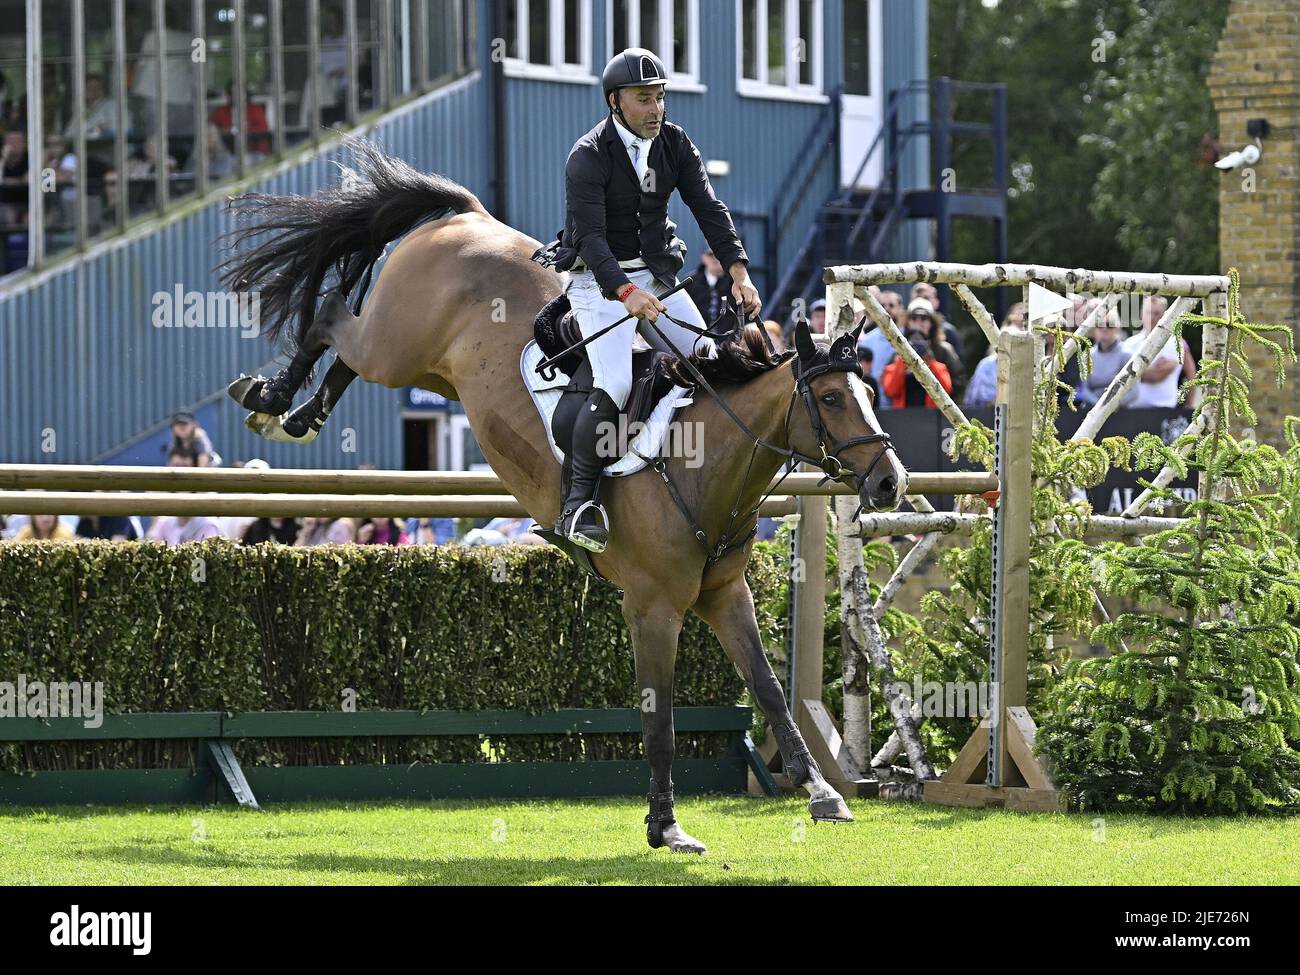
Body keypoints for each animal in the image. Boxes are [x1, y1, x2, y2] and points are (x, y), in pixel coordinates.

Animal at [220, 139, 904, 852]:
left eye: (869, 392)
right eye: (831, 399)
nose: (891, 481)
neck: (699, 462)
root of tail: (470, 216)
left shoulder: (725, 596)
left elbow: (768, 690)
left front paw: (821, 790)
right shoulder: (651, 608)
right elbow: (659, 722)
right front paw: (666, 825)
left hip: (421, 366)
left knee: (344, 353)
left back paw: (295, 413)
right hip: (397, 345)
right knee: (332, 318)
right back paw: (270, 398)